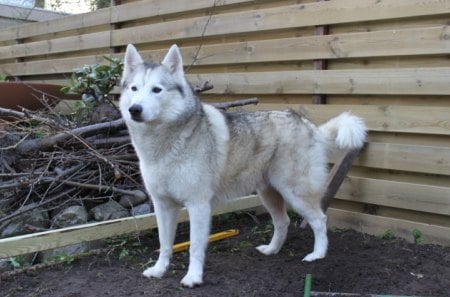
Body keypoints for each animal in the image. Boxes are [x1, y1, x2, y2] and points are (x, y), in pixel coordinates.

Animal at [119, 44, 366, 286]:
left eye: (156, 90)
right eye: (134, 88)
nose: (135, 109)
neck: (164, 143)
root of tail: (308, 124)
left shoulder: (198, 205)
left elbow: (195, 248)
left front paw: (193, 278)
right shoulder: (163, 206)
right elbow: (164, 244)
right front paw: (159, 270)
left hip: (295, 193)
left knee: (319, 220)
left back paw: (317, 255)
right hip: (269, 194)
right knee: (283, 221)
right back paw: (272, 250)